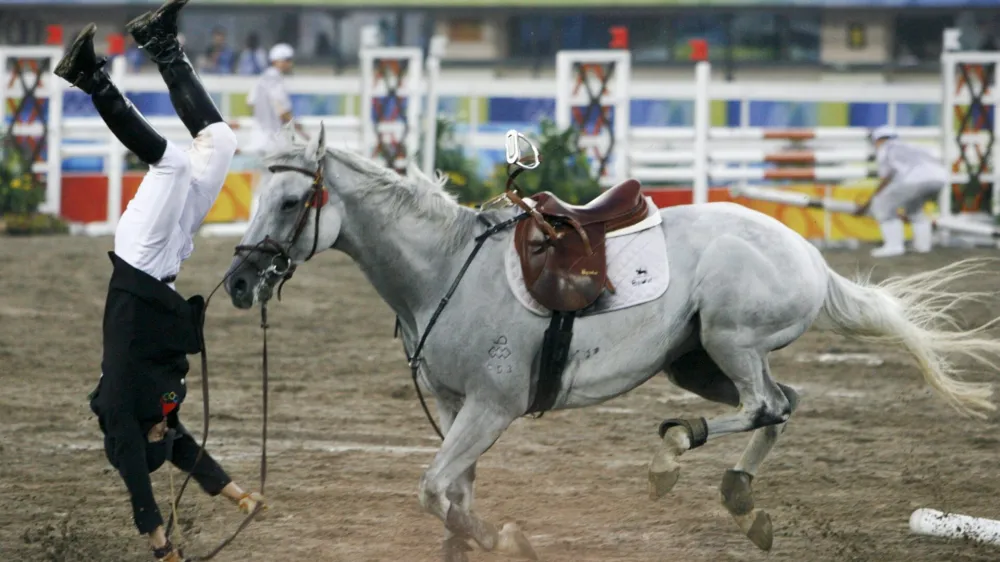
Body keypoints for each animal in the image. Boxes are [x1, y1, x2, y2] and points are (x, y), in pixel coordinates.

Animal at [224, 123, 1000, 560]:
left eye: (291, 202)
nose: (236, 282)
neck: (442, 268)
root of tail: (809, 255)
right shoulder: (453, 407)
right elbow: (452, 498)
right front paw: (476, 537)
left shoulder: (491, 408)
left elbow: (437, 490)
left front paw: (507, 539)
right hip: (698, 360)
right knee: (785, 402)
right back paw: (740, 497)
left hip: (730, 340)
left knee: (762, 405)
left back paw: (674, 452)